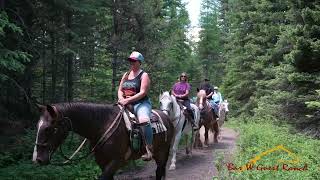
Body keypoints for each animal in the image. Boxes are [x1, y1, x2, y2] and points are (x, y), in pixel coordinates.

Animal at [31, 102, 174, 180]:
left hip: (162, 153)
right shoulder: (102, 163)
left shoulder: (115, 161)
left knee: (159, 171)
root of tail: (165, 116)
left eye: (50, 129)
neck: (102, 125)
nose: (37, 159)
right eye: (37, 126)